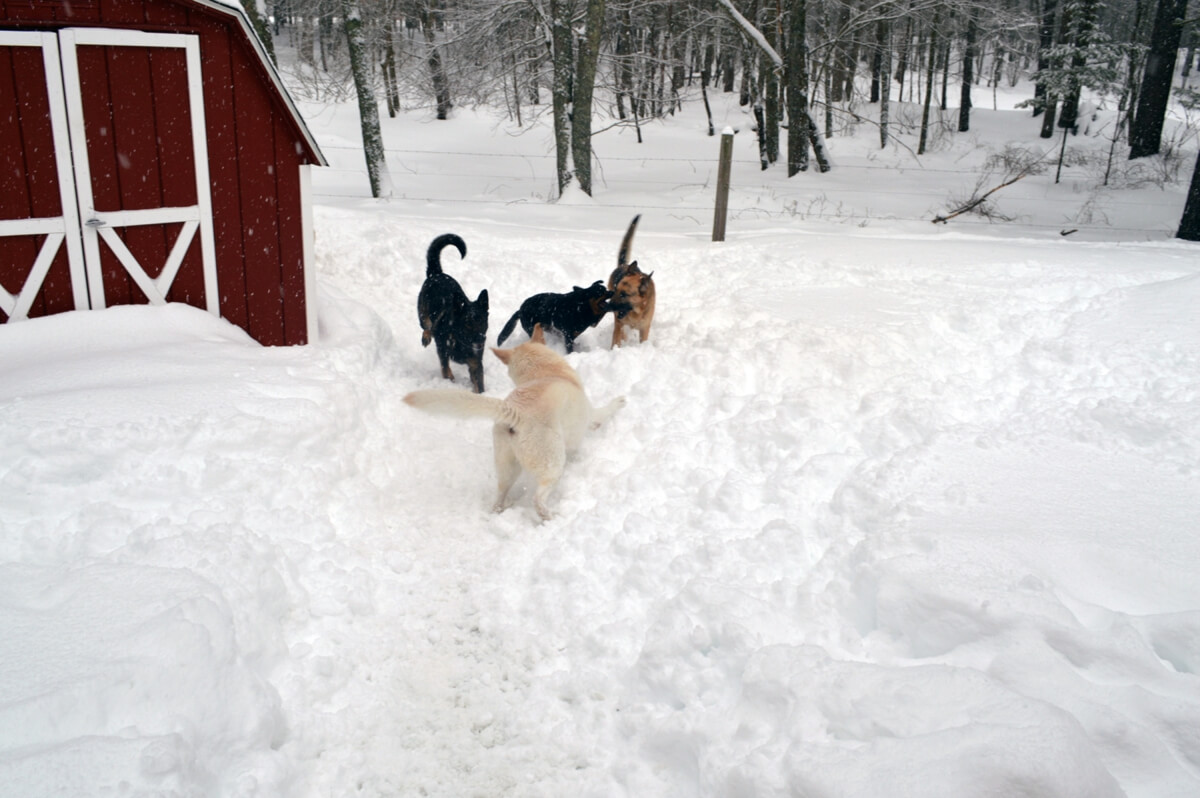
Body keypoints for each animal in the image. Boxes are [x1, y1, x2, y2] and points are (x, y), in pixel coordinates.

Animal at [405, 326, 628, 520]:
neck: (545, 371)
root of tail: (515, 412)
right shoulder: (590, 417)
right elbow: (605, 412)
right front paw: (620, 402)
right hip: (553, 463)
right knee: (538, 499)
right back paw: (550, 516)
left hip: (506, 467)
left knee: (499, 496)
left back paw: (501, 509)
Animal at [415, 230, 484, 391]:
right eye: (468, 323)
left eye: (483, 322)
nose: (480, 340)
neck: (460, 339)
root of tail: (437, 274)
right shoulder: (443, 349)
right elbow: (446, 369)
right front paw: (450, 382)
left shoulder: (475, 362)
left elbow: (478, 381)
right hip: (422, 311)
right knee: (427, 324)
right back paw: (426, 336)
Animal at [609, 214, 657, 345]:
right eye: (615, 290)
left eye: (624, 294)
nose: (606, 306)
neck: (635, 311)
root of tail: (624, 265)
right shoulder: (619, 324)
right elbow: (616, 341)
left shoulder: (644, 329)